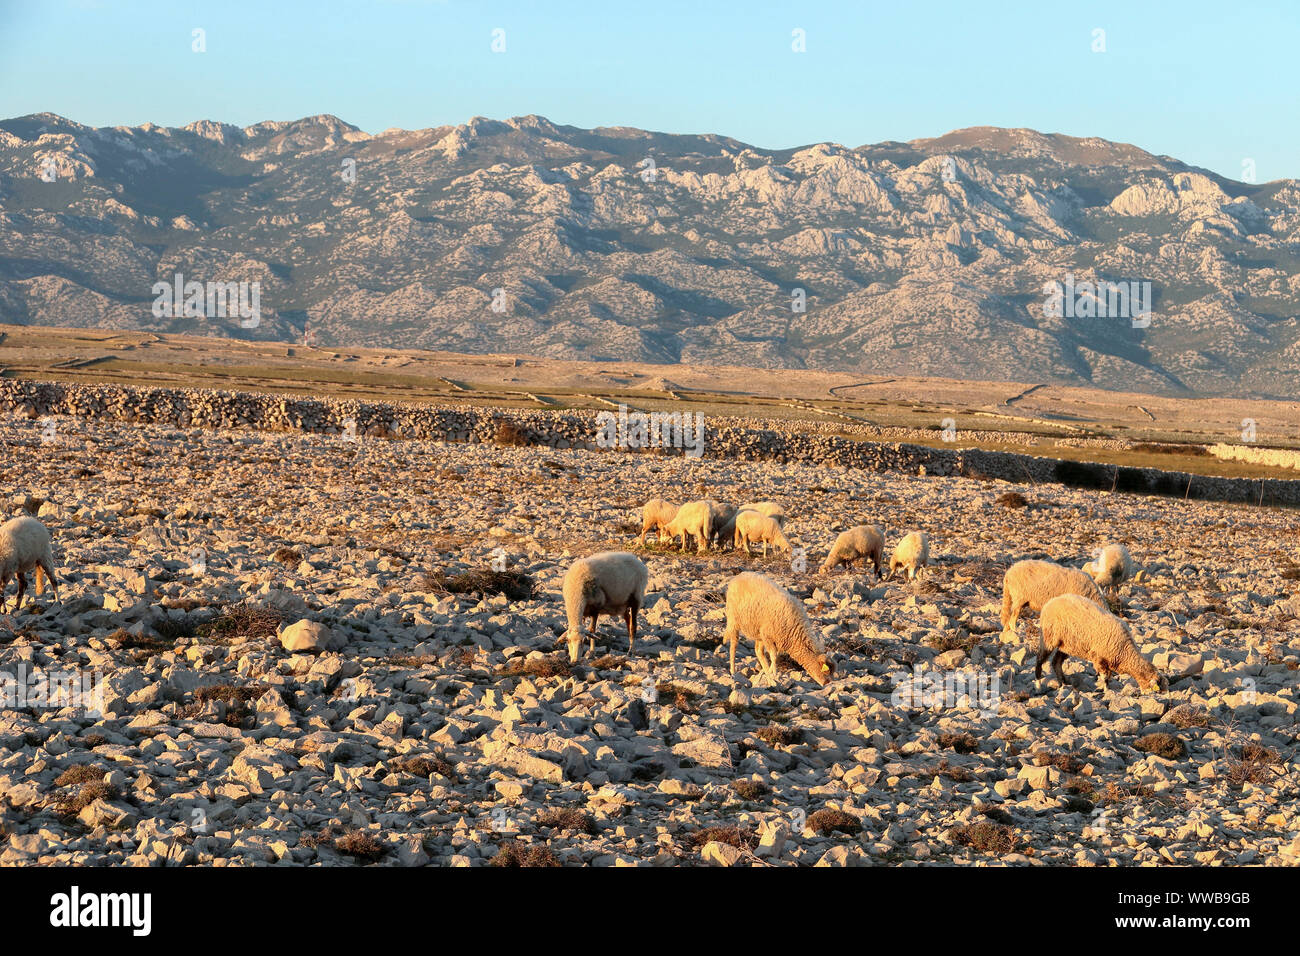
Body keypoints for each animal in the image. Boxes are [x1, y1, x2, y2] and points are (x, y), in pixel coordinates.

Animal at [1034, 595, 1170, 691]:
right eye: (1157, 690)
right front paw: (1106, 690)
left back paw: (1063, 682)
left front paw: (1107, 689)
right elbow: (1105, 677)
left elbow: (1108, 676)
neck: (1125, 652)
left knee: (1056, 662)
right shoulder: (1099, 658)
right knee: (1040, 660)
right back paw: (1038, 685)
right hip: (1049, 638)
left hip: (1067, 645)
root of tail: (1051, 602)